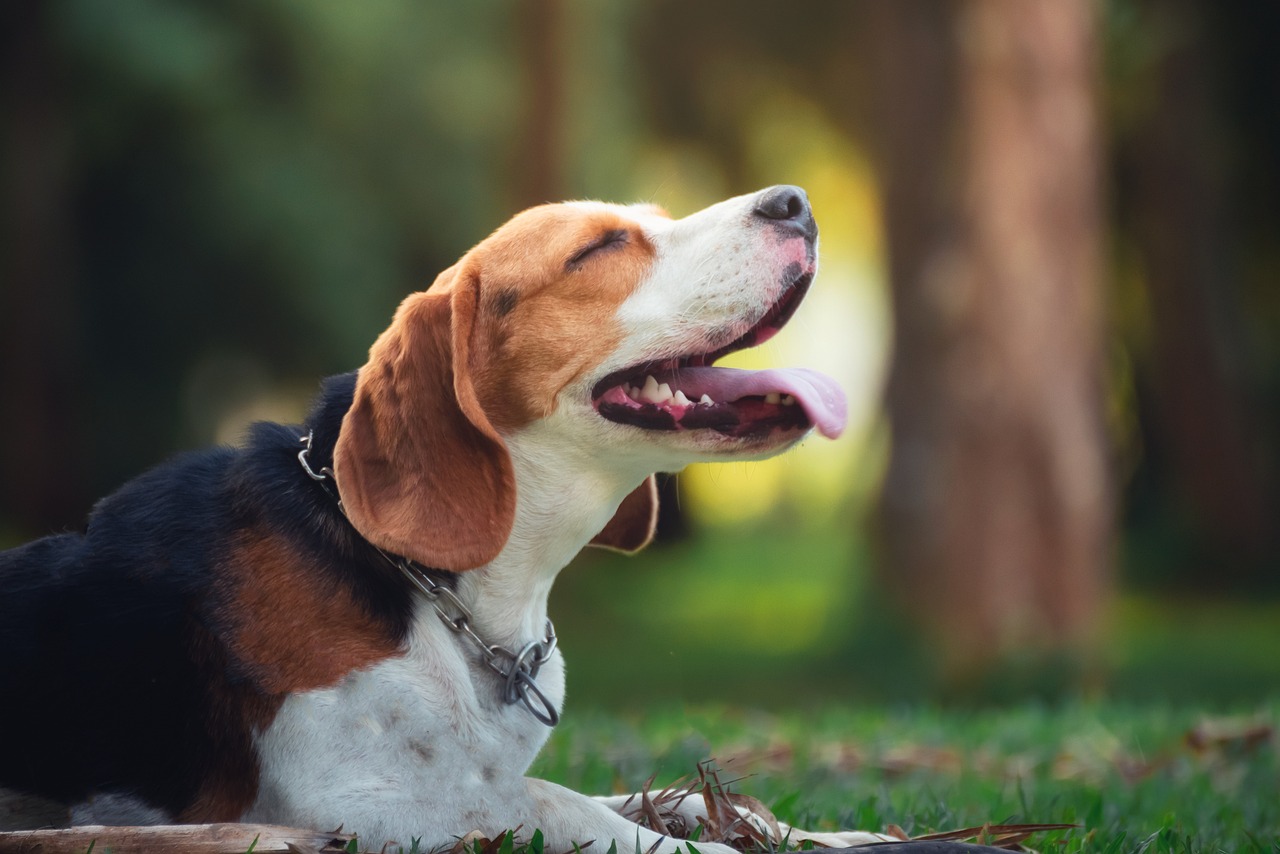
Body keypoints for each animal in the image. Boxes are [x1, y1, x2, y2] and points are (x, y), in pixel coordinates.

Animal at [0, 190, 901, 850]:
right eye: (599, 249)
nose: (794, 201)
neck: (457, 598)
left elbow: (668, 800)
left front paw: (836, 838)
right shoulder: (366, 803)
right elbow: (562, 804)